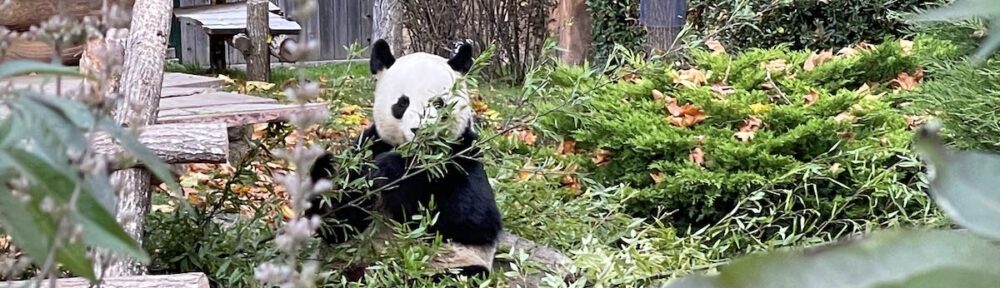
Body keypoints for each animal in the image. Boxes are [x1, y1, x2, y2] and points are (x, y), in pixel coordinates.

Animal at [304, 37, 504, 276]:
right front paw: (327, 168)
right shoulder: (370, 144)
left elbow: (474, 218)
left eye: (439, 103)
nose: (420, 130)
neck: (417, 154)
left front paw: (388, 168)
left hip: (455, 262)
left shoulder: (462, 153)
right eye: (402, 103)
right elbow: (338, 223)